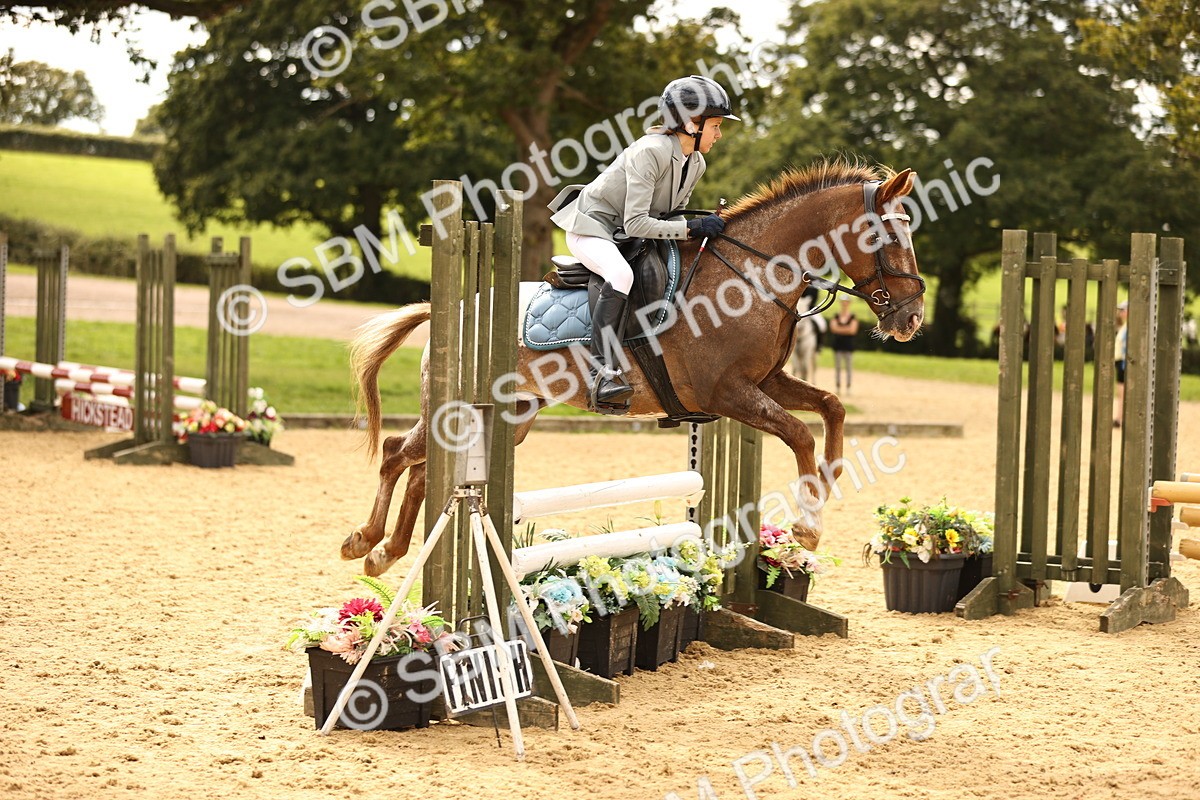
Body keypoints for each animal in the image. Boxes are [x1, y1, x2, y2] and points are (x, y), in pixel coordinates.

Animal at [342, 160, 926, 576]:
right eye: (888, 237)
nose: (911, 318)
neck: (754, 275)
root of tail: (456, 310)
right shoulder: (729, 392)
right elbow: (799, 434)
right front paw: (808, 524)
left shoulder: (765, 381)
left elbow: (831, 406)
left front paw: (829, 479)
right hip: (462, 410)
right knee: (397, 454)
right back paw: (365, 542)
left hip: (513, 418)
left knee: (423, 471)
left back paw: (386, 551)